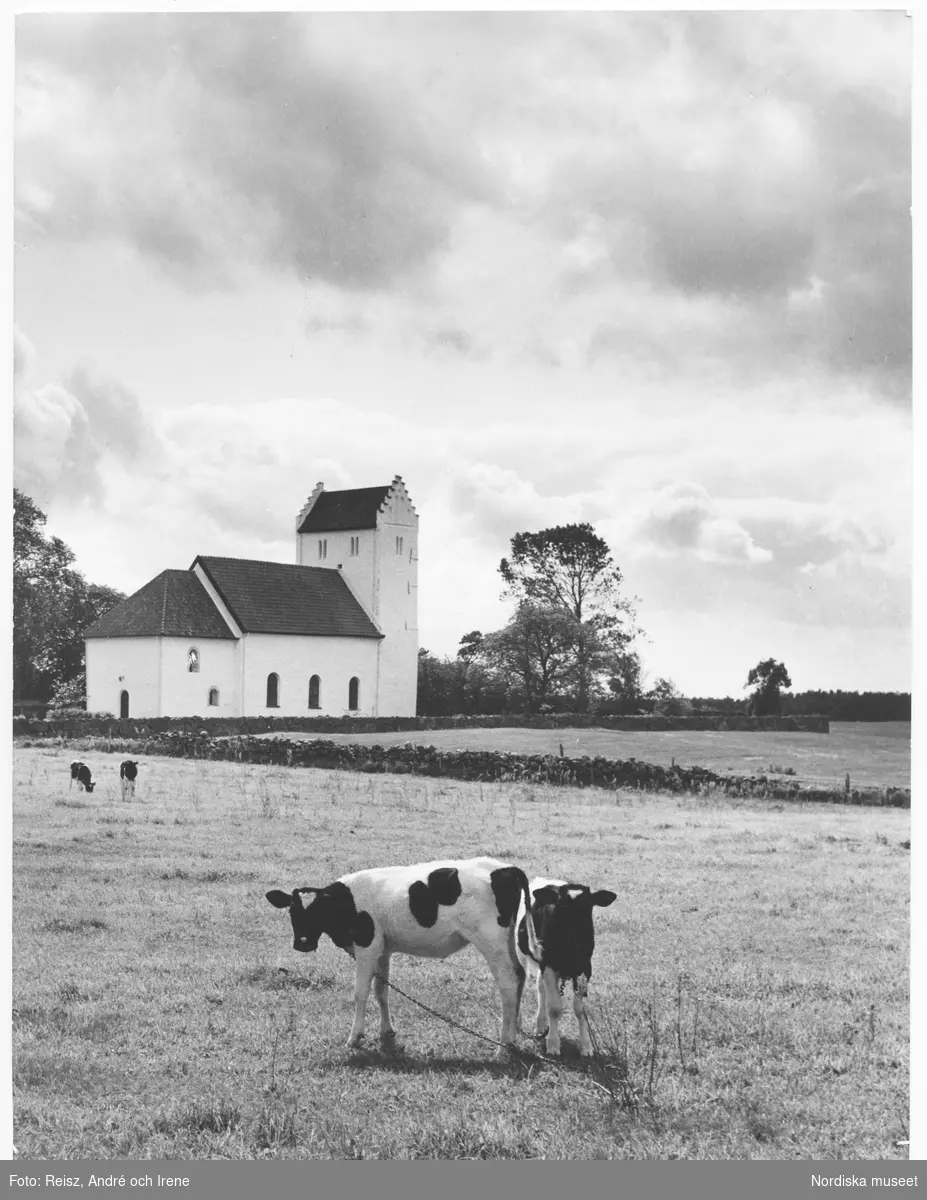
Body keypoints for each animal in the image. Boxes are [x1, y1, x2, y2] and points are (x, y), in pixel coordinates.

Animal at [264, 859, 540, 1056]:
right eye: (293, 911)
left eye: (315, 910)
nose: (302, 944)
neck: (346, 903)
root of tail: (503, 868)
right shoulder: (382, 950)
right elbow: (381, 991)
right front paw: (386, 1031)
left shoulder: (367, 948)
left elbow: (361, 993)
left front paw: (355, 1037)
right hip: (506, 941)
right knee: (520, 976)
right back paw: (515, 1031)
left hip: (490, 941)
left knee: (508, 981)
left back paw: (504, 1043)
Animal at [513, 878, 614, 1056]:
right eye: (562, 905)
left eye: (587, 906)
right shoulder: (549, 966)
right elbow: (554, 1008)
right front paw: (553, 1044)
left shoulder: (585, 968)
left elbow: (580, 1010)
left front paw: (586, 1046)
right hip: (524, 957)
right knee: (526, 986)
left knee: (541, 989)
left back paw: (541, 1025)